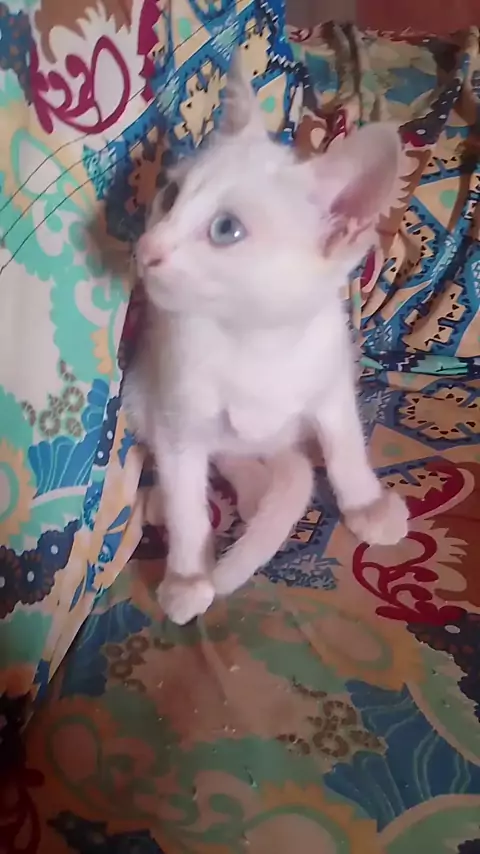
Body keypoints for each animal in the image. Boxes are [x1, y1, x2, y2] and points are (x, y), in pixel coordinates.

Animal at [123, 60, 409, 625]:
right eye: (170, 197)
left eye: (225, 229)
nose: (147, 249)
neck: (254, 341)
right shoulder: (177, 417)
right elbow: (188, 498)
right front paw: (188, 579)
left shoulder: (329, 380)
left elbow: (344, 446)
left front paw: (365, 504)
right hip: (143, 394)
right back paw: (171, 504)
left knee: (282, 468)